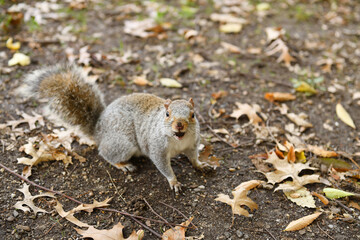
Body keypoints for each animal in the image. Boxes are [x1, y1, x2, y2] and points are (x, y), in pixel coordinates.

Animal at [16, 64, 208, 192]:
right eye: (167, 114)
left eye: (193, 115)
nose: (179, 124)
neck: (179, 140)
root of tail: (98, 131)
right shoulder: (157, 147)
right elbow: (163, 166)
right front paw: (173, 181)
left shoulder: (192, 143)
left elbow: (193, 156)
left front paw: (200, 165)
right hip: (123, 144)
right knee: (106, 154)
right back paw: (123, 165)